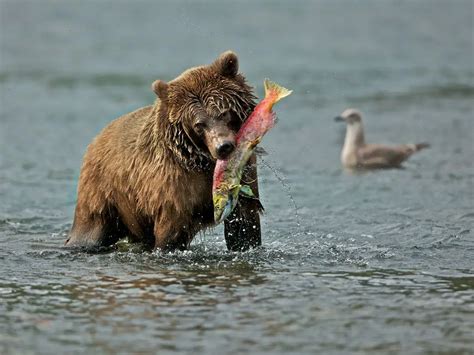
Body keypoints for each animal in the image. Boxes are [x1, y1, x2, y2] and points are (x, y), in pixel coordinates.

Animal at [64, 51, 262, 253]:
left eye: (223, 112)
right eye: (199, 124)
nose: (223, 146)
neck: (202, 161)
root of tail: (96, 139)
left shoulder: (242, 178)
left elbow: (244, 225)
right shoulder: (174, 188)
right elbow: (171, 233)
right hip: (102, 194)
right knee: (90, 230)